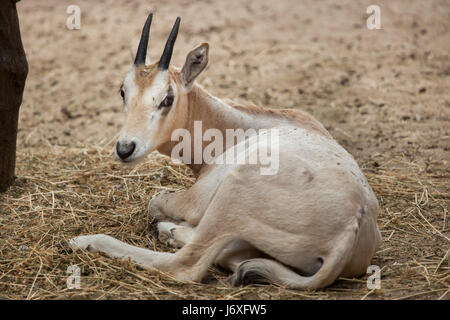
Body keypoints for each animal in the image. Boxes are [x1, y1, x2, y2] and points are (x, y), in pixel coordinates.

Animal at [68, 13, 382, 290]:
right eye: (123, 91)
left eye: (167, 98)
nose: (125, 149)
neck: (241, 128)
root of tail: (353, 223)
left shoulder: (196, 200)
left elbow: (156, 202)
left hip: (231, 193)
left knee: (185, 264)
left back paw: (90, 240)